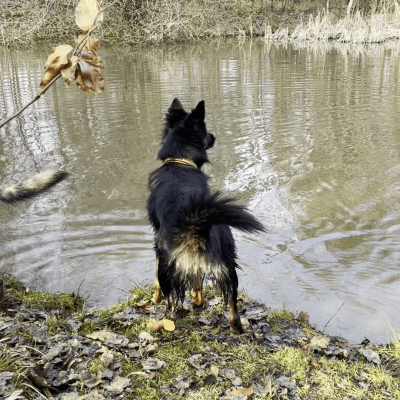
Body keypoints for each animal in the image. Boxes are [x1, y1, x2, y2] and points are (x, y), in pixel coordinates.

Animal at [145, 98, 264, 332]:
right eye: (206, 131)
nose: (214, 136)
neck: (179, 161)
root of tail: (194, 220)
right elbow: (198, 283)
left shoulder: (157, 248)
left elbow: (155, 282)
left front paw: (153, 300)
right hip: (228, 267)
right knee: (232, 312)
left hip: (167, 267)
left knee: (171, 312)